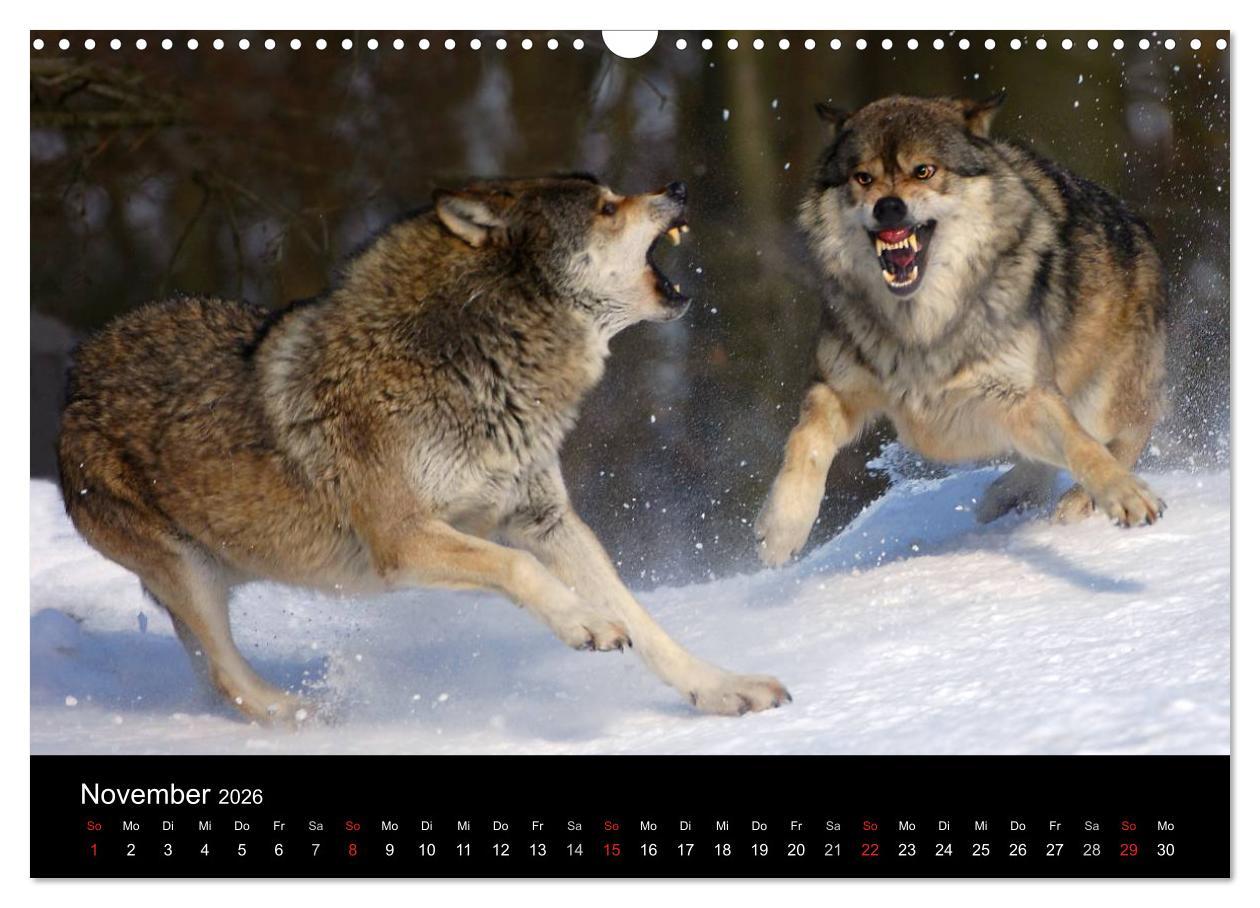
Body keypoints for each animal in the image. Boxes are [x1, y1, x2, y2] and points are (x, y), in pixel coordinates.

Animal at [59, 175, 790, 723]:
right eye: (608, 208)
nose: (678, 185)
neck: (479, 367)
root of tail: (74, 378)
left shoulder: (544, 519)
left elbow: (644, 618)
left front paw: (722, 688)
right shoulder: (404, 540)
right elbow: (521, 570)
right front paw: (583, 624)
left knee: (215, 674)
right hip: (192, 576)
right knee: (230, 681)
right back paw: (315, 717)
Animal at [755, 94, 1167, 567]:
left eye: (924, 171)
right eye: (863, 178)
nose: (889, 207)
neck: (921, 328)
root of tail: (1136, 222)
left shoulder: (1021, 393)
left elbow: (1082, 447)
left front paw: (1125, 495)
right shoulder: (835, 387)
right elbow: (804, 443)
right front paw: (782, 530)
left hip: (1103, 396)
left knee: (1125, 431)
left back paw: (1076, 501)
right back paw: (1005, 495)